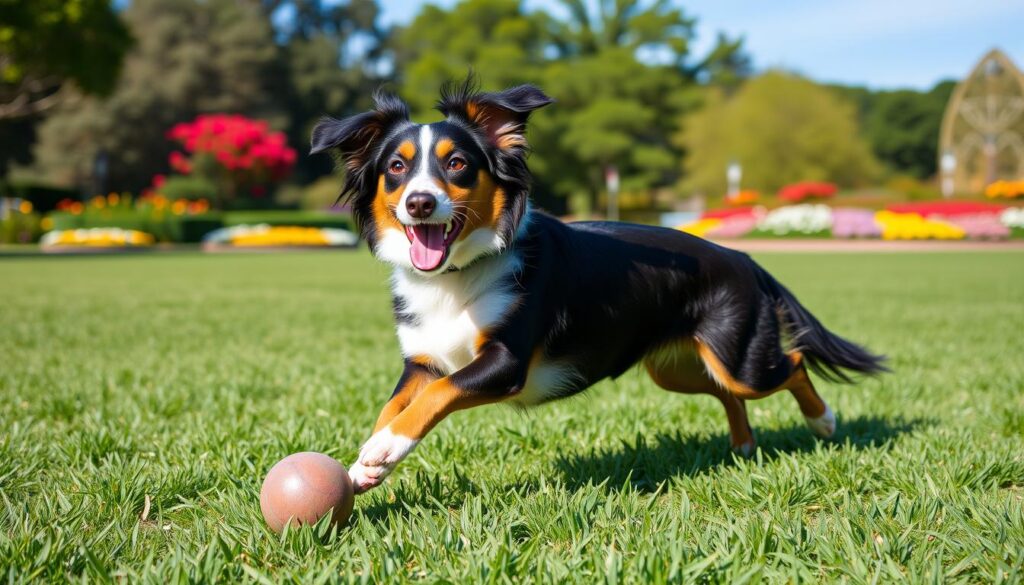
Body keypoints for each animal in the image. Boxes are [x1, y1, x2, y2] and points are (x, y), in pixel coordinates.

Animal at [311, 77, 888, 493]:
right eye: (396, 167)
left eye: (456, 164)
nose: (419, 202)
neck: (458, 275)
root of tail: (744, 257)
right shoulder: (423, 361)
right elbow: (396, 405)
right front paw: (365, 465)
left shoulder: (504, 364)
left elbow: (436, 397)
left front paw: (383, 450)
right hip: (675, 368)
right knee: (731, 393)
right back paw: (744, 447)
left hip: (739, 356)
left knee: (792, 365)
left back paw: (824, 422)